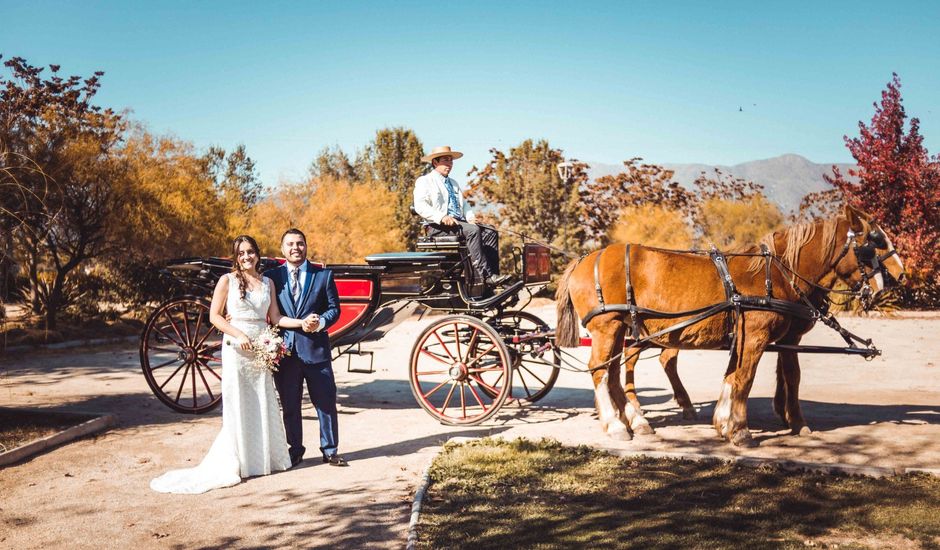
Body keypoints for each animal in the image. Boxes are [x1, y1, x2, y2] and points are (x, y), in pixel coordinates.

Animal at [560, 207, 904, 448]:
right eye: (872, 245)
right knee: (600, 371)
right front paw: (741, 431)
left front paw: (725, 423)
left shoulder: (753, 337)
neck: (777, 274)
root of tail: (583, 259)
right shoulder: (756, 336)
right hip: (609, 328)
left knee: (614, 372)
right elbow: (747, 379)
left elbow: (737, 377)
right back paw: (617, 424)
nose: (898, 277)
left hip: (621, 331)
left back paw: (635, 421)